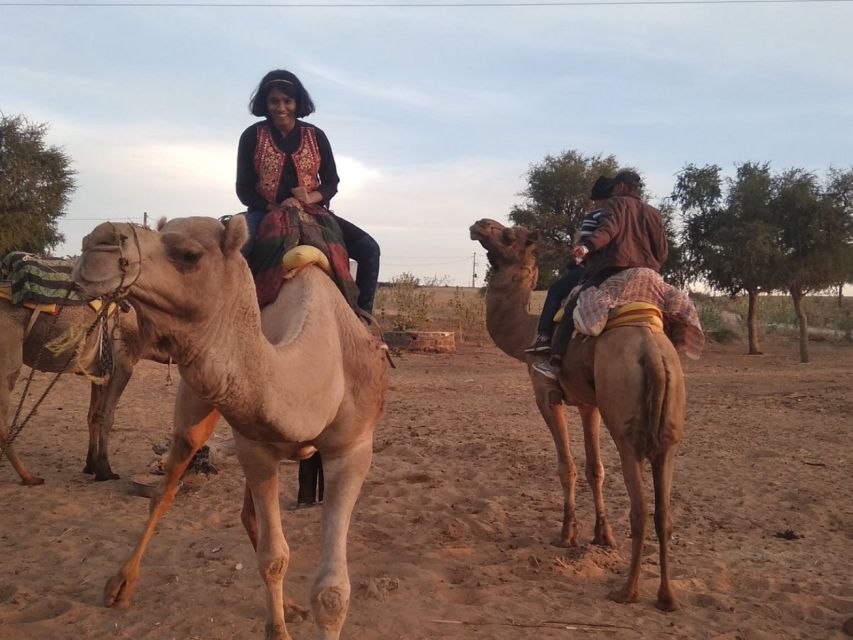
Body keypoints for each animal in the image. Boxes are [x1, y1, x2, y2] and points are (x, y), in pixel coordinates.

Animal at [0, 298, 164, 484]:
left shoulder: (99, 370)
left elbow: (92, 416)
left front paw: (90, 465)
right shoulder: (122, 367)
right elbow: (106, 417)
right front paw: (105, 471)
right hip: (8, 356)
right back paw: (29, 477)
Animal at [73, 216, 388, 640]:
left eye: (189, 254)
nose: (97, 242)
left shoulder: (352, 447)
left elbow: (331, 592)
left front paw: (293, 612)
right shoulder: (255, 446)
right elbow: (273, 558)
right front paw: (277, 630)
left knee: (245, 514)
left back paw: (291, 605)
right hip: (196, 409)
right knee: (166, 488)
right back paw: (122, 584)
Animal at [470, 218, 686, 611]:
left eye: (508, 235)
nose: (480, 225)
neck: (524, 334)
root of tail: (652, 355)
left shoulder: (547, 397)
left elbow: (566, 466)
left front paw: (567, 534)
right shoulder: (590, 404)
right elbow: (594, 469)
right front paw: (602, 535)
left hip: (627, 428)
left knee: (640, 505)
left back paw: (627, 591)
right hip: (670, 430)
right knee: (663, 510)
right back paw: (666, 597)